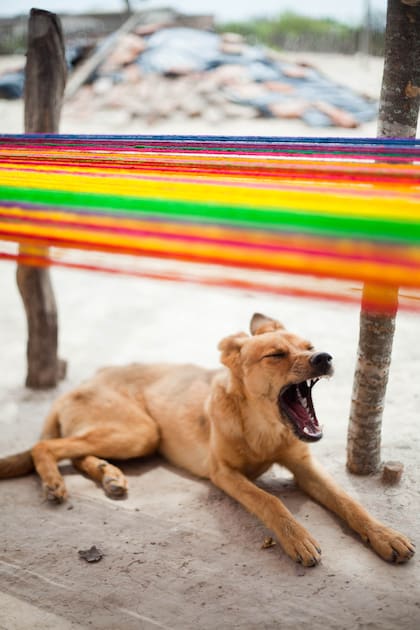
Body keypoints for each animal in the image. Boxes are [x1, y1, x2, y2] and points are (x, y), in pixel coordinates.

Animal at [0, 316, 414, 568]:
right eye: (276, 354)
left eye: (310, 345)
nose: (324, 357)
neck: (263, 427)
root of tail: (79, 384)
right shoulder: (223, 473)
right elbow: (270, 500)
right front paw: (296, 537)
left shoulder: (305, 466)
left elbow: (349, 502)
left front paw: (386, 536)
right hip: (139, 431)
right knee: (45, 447)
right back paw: (55, 483)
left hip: (134, 436)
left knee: (77, 451)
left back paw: (109, 476)